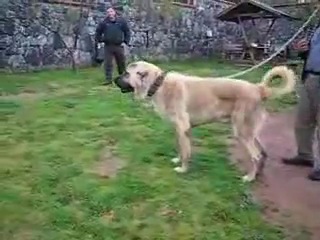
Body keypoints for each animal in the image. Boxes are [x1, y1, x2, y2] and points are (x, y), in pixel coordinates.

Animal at [114, 60, 296, 182]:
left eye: (126, 74)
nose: (114, 79)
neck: (159, 85)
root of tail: (259, 89)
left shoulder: (183, 127)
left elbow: (185, 152)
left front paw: (183, 169)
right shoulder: (179, 130)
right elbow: (181, 148)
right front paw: (178, 160)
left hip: (241, 131)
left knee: (256, 155)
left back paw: (249, 177)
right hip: (249, 131)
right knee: (262, 152)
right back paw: (258, 173)